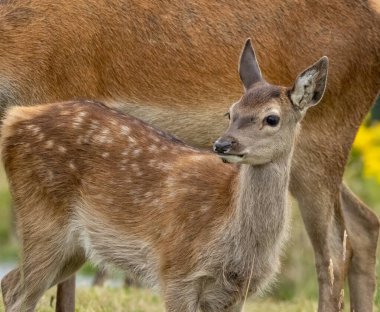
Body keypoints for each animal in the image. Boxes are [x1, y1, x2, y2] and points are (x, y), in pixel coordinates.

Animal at [0, 0, 378, 312]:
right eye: (229, 112)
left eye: (271, 118)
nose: (222, 144)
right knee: (363, 225)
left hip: (326, 138)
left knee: (333, 252)